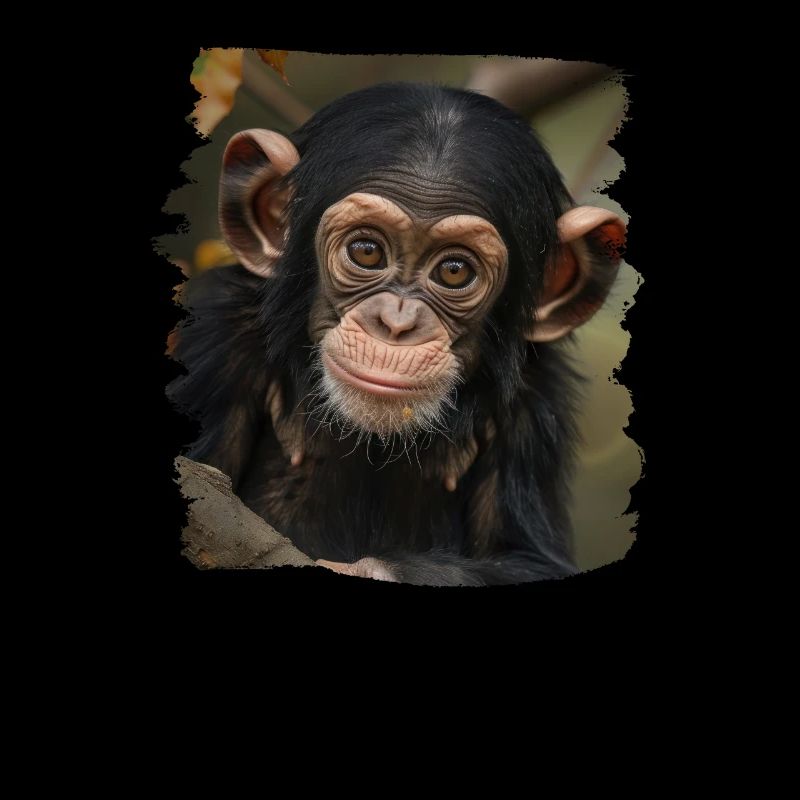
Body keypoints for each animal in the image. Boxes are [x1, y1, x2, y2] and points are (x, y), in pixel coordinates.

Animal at [169, 83, 626, 585]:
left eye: (454, 270)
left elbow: (530, 560)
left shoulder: (535, 402)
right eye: (367, 251)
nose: (397, 324)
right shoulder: (217, 337)